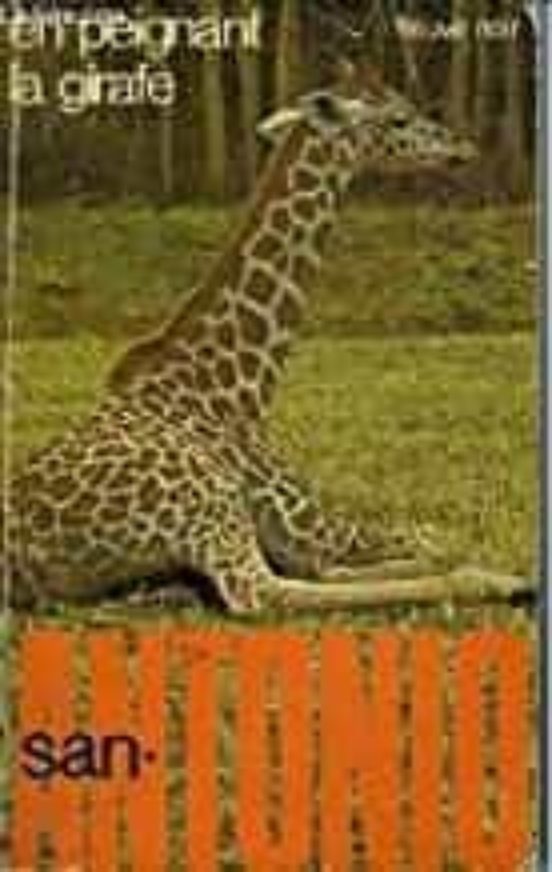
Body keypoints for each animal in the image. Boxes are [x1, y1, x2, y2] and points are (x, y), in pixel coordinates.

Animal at [3, 69, 529, 614]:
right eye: (399, 118)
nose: (462, 148)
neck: (245, 387)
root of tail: (21, 556)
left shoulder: (305, 541)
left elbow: (409, 547)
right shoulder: (310, 530)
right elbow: (428, 543)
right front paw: (492, 572)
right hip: (209, 504)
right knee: (264, 593)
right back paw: (500, 581)